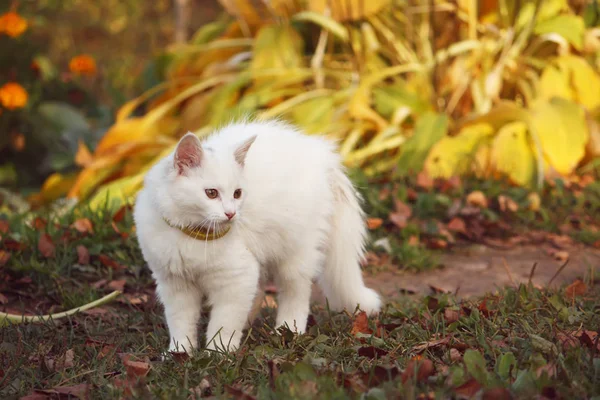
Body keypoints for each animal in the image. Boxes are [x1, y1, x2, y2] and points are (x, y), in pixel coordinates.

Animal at [134, 119, 382, 354]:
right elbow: (181, 323)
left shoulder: (235, 278)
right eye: (211, 193)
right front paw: (180, 352)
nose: (231, 213)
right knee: (260, 291)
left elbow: (223, 323)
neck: (194, 235)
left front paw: (218, 353)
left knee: (296, 294)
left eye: (237, 193)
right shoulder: (175, 284)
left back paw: (288, 330)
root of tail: (322, 154)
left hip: (294, 254)